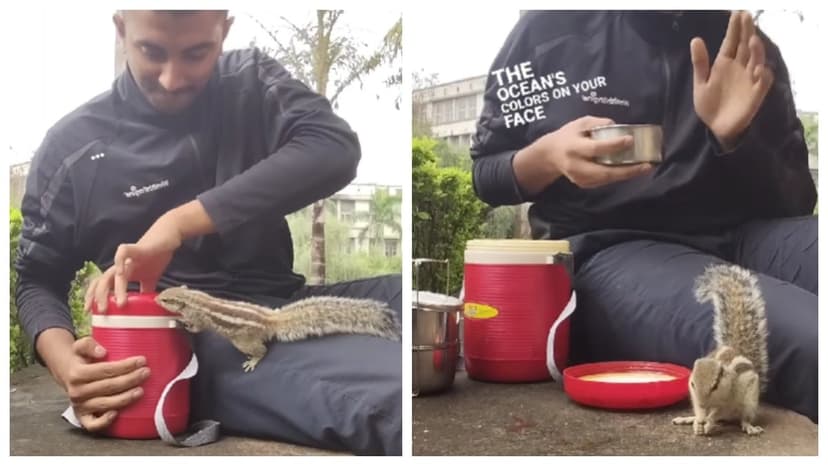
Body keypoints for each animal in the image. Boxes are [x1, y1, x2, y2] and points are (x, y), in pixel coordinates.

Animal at [156, 287, 401, 372]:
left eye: (166, 299)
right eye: (165, 292)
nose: (157, 298)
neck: (192, 297)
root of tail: (270, 319)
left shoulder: (199, 318)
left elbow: (196, 327)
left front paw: (181, 321)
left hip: (242, 341)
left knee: (262, 350)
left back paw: (253, 360)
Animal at [671, 264, 769, 436]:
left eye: (715, 385)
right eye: (693, 384)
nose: (703, 404)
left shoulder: (730, 400)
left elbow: (718, 412)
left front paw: (708, 421)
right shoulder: (695, 398)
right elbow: (701, 411)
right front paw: (698, 420)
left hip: (749, 403)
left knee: (742, 418)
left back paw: (748, 427)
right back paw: (690, 419)